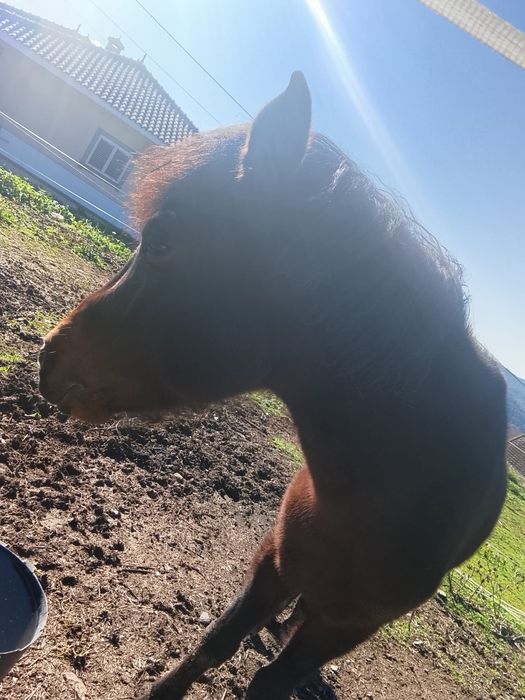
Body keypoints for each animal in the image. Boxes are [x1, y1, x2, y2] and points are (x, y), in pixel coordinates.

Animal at [38, 72, 507, 699]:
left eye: (160, 241)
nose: (48, 356)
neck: (370, 496)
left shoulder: (348, 625)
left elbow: (270, 680)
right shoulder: (274, 560)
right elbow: (215, 643)